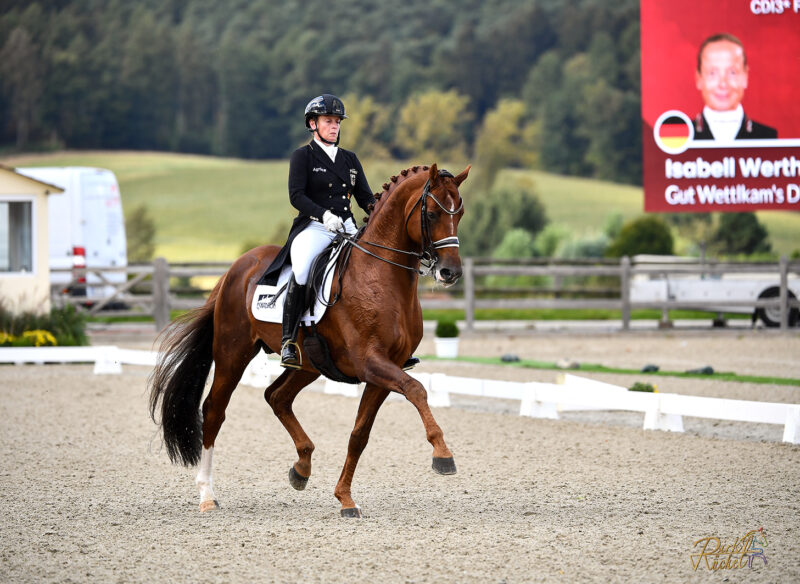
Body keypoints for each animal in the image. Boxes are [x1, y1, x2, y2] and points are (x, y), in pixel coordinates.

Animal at [148, 163, 468, 516]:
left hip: (308, 364)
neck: (381, 277)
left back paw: (301, 468)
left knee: (276, 397)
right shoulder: (371, 363)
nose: (450, 272)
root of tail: (238, 266)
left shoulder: (386, 370)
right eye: (433, 213)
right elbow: (417, 390)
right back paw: (207, 495)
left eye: (460, 212)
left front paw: (345, 498)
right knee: (215, 410)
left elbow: (360, 434)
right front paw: (443, 455)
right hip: (233, 353)